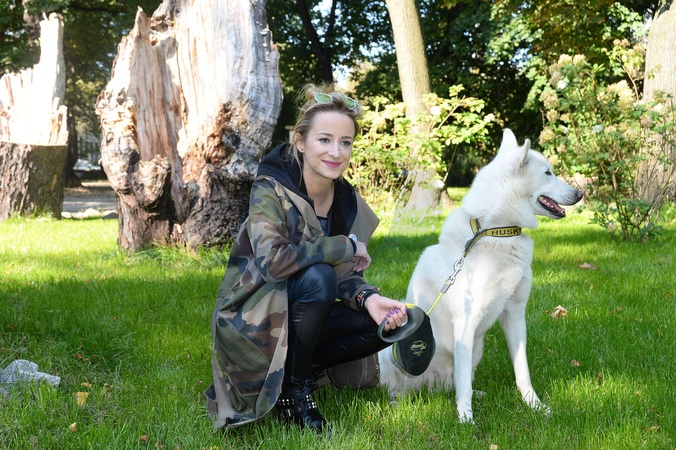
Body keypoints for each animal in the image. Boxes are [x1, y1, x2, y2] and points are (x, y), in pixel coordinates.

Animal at [379, 128, 583, 422]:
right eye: (548, 173)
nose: (581, 193)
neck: (495, 231)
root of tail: (428, 388)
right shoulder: (466, 322)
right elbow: (464, 383)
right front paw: (466, 420)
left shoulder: (515, 315)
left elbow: (522, 371)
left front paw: (535, 406)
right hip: (391, 350)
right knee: (400, 389)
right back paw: (398, 403)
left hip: (476, 348)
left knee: (454, 384)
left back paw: (475, 394)